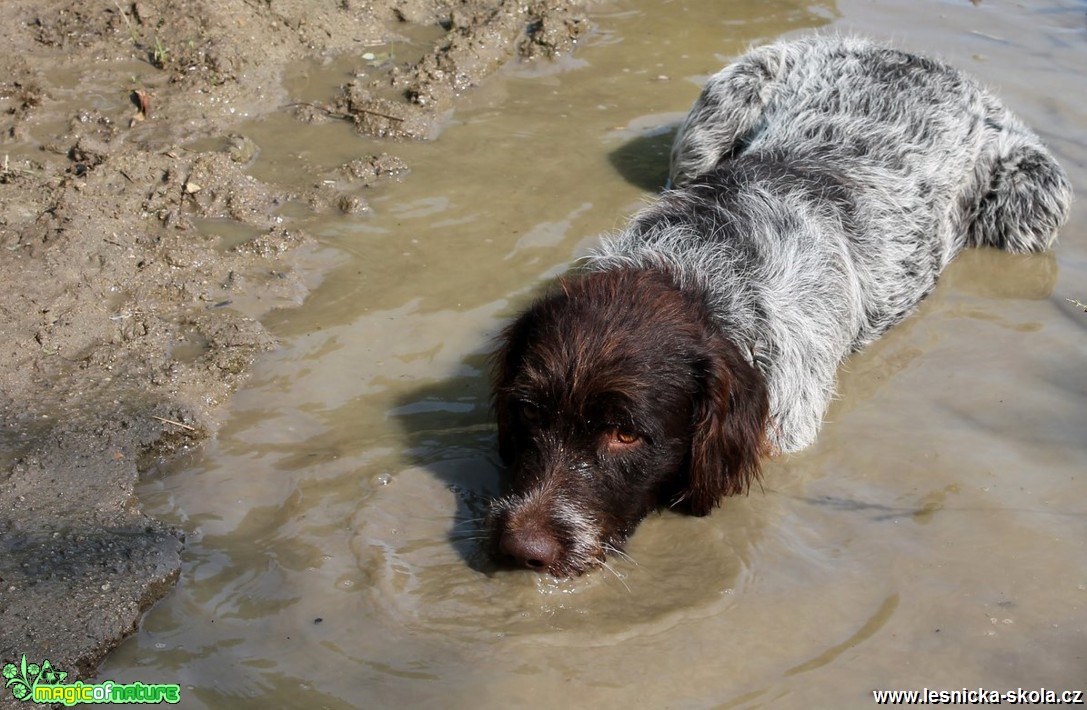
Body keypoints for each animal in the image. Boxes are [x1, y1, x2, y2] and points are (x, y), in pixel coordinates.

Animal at [489, 34, 1073, 574]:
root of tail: (920, 58)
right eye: (529, 412)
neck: (696, 269)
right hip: (719, 109)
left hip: (1035, 196)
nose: (523, 550)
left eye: (625, 434)